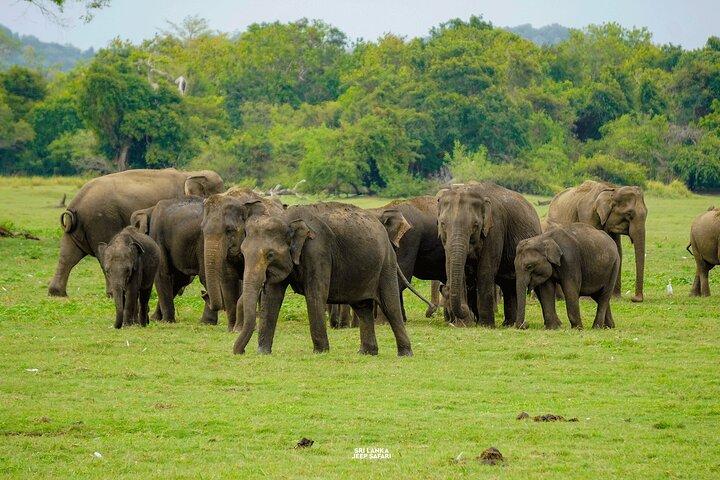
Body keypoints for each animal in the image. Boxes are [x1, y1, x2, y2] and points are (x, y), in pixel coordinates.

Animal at [48, 168, 223, 297]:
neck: (190, 173)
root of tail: (75, 204)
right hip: (101, 221)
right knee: (103, 252)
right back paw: (112, 294)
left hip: (79, 227)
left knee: (67, 254)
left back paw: (56, 293)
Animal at [130, 197, 219, 327]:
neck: (149, 209)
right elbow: (178, 280)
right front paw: (156, 318)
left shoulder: (157, 235)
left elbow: (161, 274)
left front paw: (166, 321)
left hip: (204, 243)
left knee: (206, 277)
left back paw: (206, 322)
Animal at [201, 188, 285, 332]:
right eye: (202, 229)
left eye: (229, 230)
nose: (203, 294)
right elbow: (228, 280)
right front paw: (231, 330)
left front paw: (238, 329)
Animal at [233, 202, 413, 356]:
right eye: (243, 253)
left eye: (270, 255)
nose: (240, 352)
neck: (287, 218)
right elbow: (272, 298)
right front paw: (263, 352)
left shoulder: (317, 250)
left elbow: (315, 294)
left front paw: (320, 352)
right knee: (362, 307)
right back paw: (367, 353)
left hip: (386, 264)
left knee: (390, 305)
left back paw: (405, 354)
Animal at [437, 182, 542, 327]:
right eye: (442, 224)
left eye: (475, 225)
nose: (467, 309)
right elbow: (451, 267)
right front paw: (464, 325)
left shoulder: (495, 227)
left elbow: (485, 270)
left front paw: (485, 325)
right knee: (508, 285)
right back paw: (508, 324)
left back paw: (510, 324)